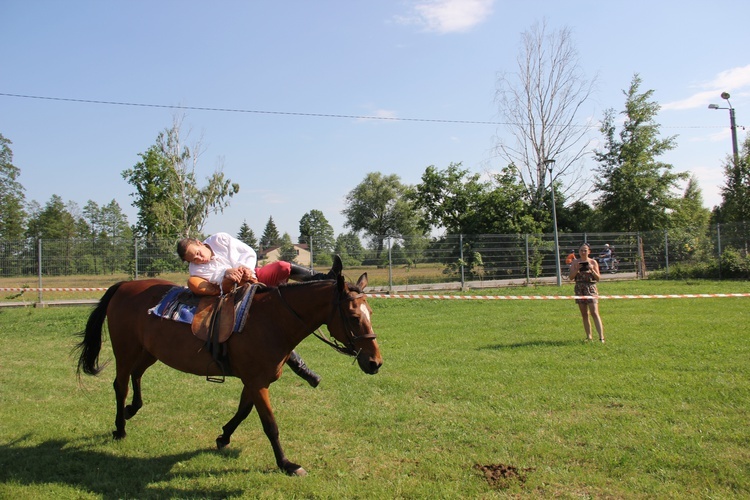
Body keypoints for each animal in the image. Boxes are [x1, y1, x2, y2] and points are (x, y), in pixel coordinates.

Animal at [77, 256, 384, 474]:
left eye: (370, 312)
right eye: (354, 317)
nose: (375, 362)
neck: (272, 319)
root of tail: (124, 286)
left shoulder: (254, 380)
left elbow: (243, 411)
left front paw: (223, 436)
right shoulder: (257, 382)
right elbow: (270, 425)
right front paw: (286, 464)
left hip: (147, 351)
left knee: (137, 376)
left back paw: (132, 410)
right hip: (125, 350)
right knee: (120, 385)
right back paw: (120, 427)